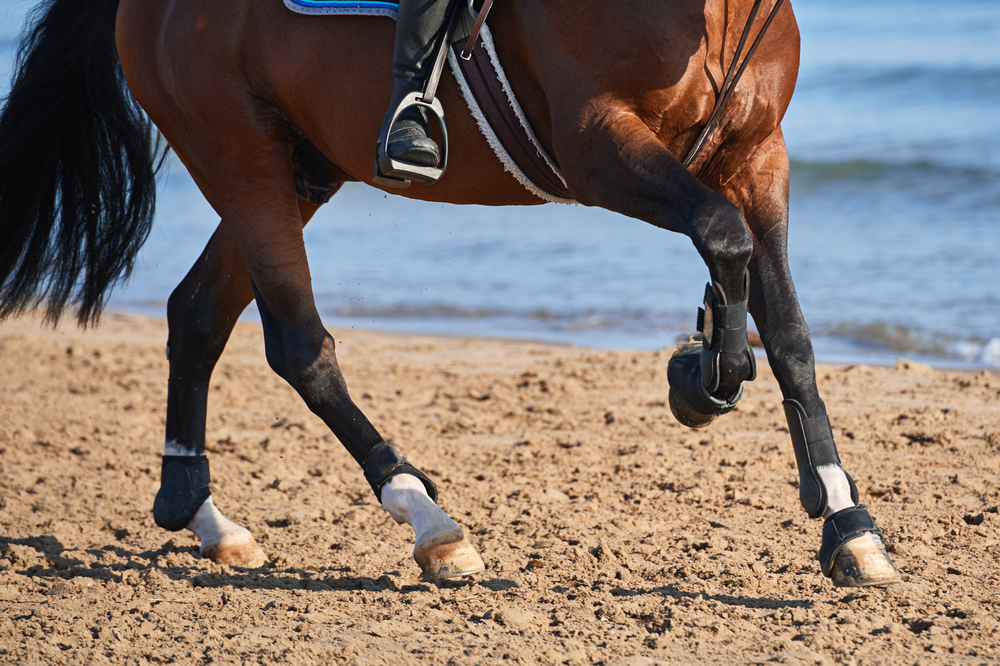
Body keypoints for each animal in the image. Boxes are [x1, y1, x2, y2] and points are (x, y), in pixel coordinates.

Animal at [0, 0, 904, 584]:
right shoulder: (597, 144)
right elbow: (724, 240)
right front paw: (706, 375)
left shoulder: (757, 154)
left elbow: (789, 334)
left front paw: (846, 521)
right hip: (240, 158)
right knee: (299, 345)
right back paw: (428, 520)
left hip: (298, 165)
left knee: (195, 314)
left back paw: (202, 515)